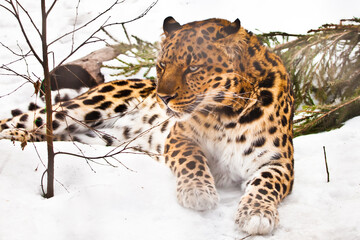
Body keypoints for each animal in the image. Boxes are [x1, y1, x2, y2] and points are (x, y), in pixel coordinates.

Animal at [0, 17, 292, 235]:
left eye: (193, 67)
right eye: (162, 64)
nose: (162, 97)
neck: (226, 114)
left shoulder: (279, 161)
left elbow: (267, 183)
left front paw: (256, 213)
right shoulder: (178, 137)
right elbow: (192, 159)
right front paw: (198, 192)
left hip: (94, 139)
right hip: (82, 109)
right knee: (19, 121)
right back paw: (14, 136)